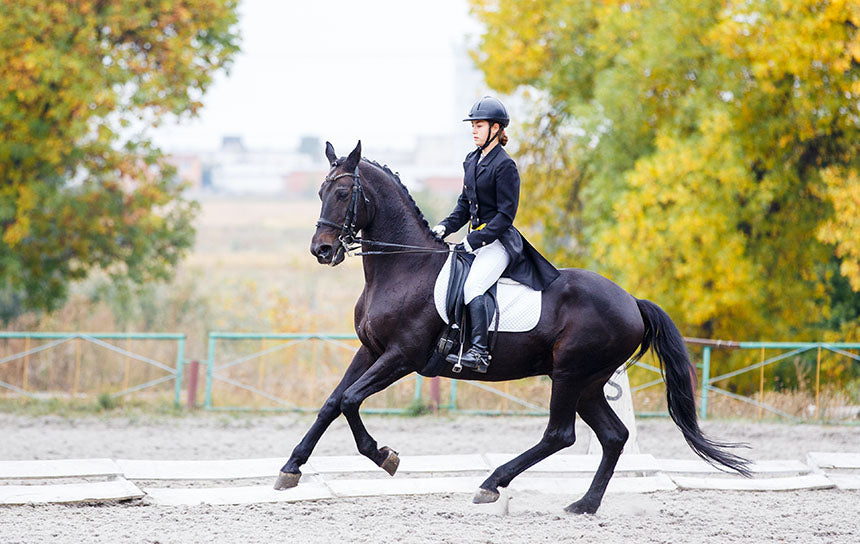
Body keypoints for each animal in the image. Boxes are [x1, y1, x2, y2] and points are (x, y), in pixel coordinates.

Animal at [274, 140, 750, 514]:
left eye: (342, 192)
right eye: (319, 190)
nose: (322, 250)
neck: (402, 266)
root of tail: (632, 301)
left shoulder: (401, 356)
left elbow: (351, 400)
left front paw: (384, 456)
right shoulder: (371, 351)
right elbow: (332, 403)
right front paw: (290, 469)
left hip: (571, 374)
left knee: (560, 434)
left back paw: (492, 484)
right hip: (589, 382)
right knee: (614, 436)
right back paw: (583, 504)